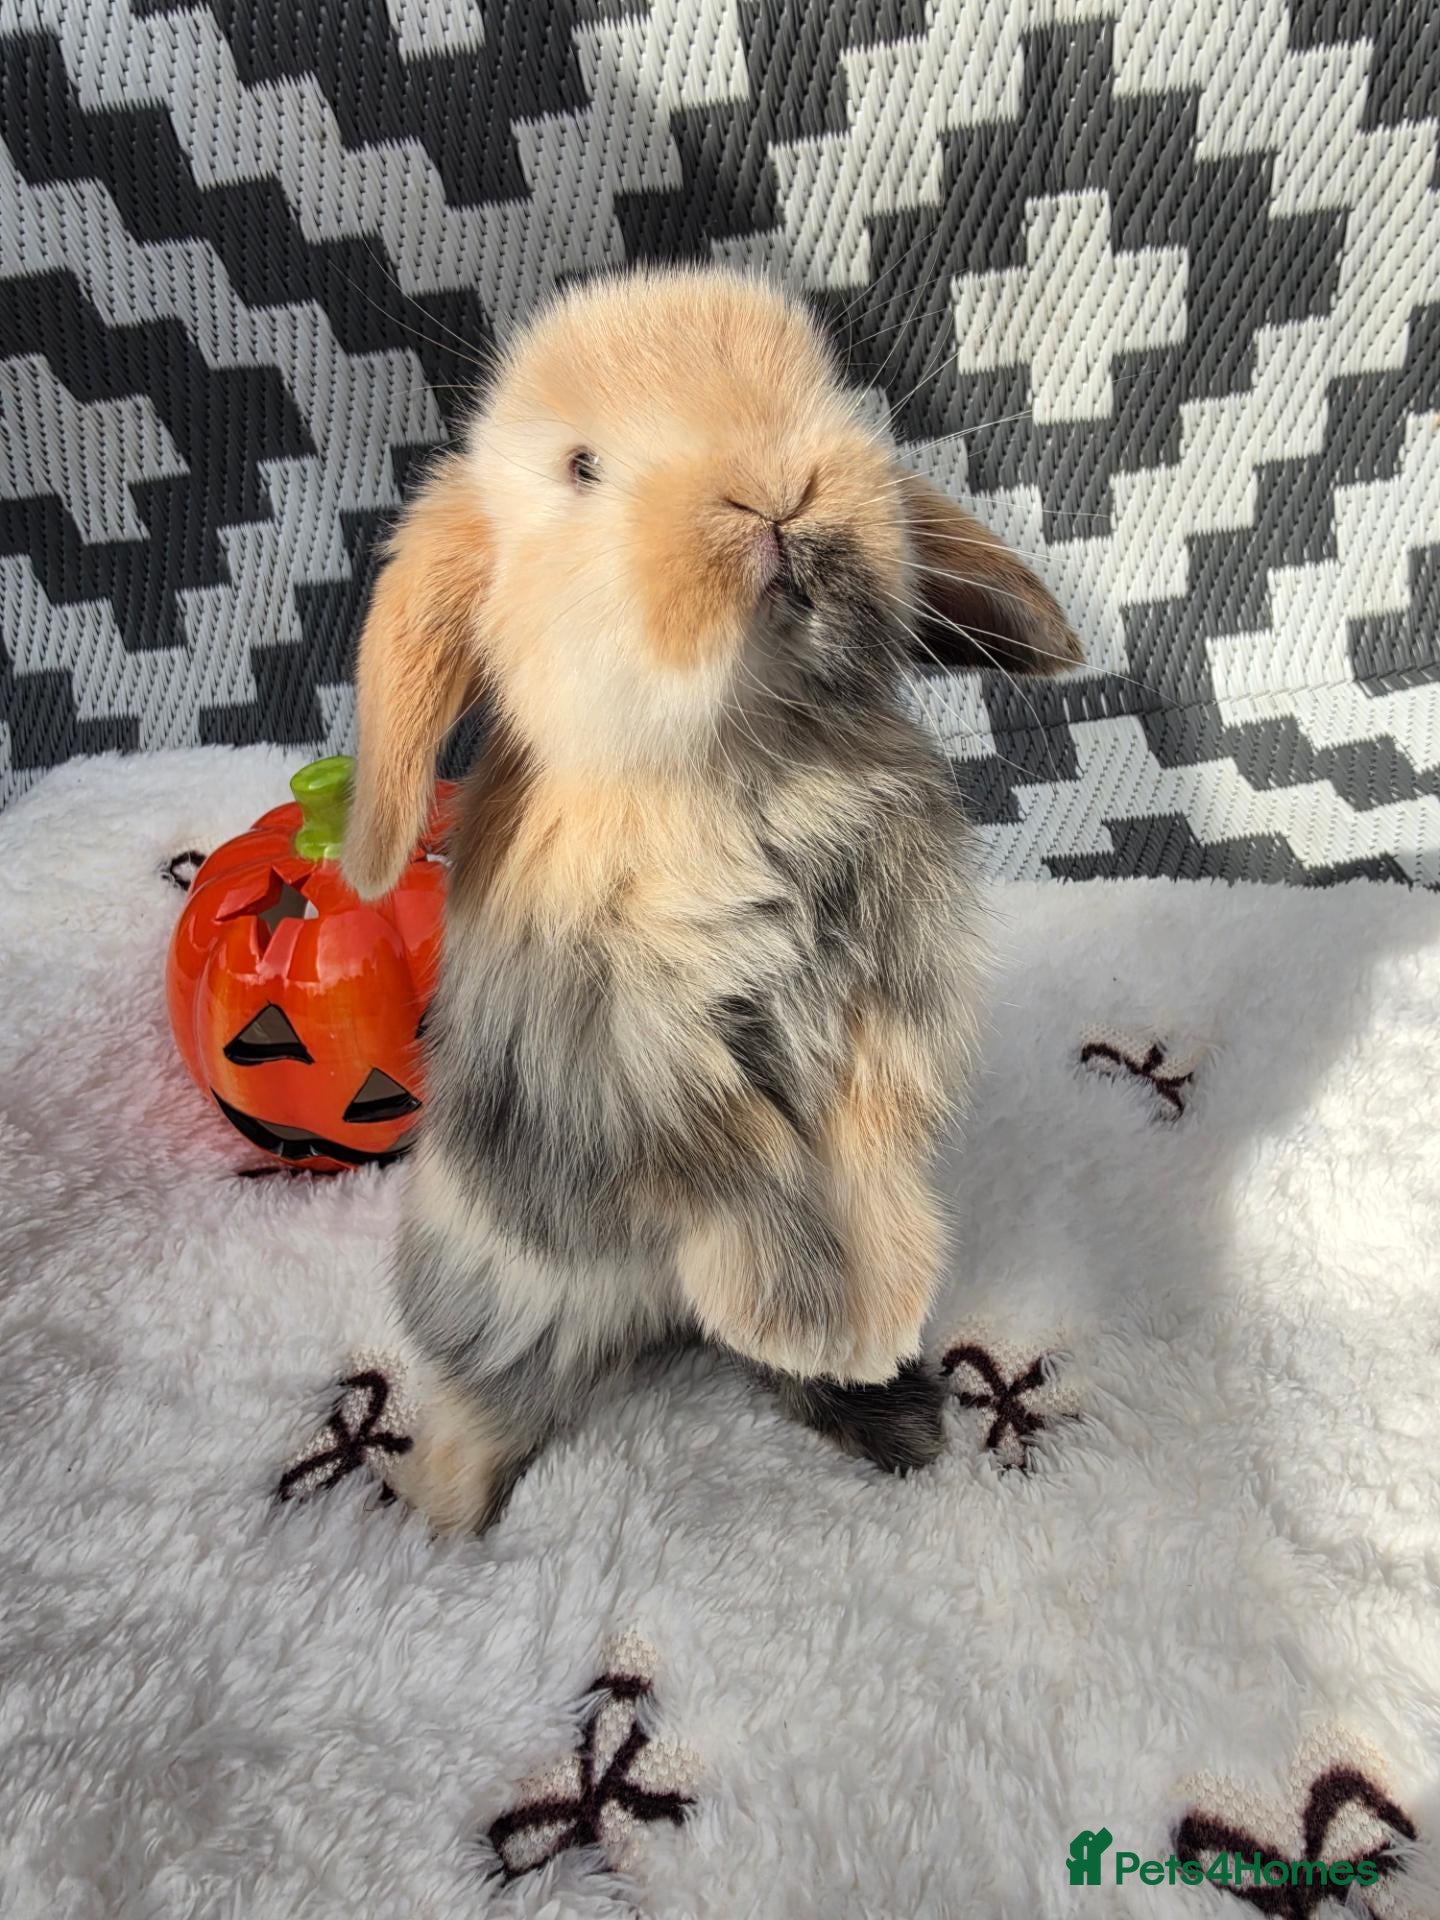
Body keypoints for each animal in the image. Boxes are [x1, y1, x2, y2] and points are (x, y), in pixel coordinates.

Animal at [341, 267, 1080, 1531]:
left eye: (821, 390)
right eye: (582, 468)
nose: (775, 490)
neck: (738, 757)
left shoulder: (889, 1004)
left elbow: (869, 1144)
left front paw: (879, 1313)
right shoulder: (631, 1064)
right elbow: (739, 1172)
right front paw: (800, 1315)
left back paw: (892, 1413)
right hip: (502, 1296)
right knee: (485, 1402)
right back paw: (444, 1522)